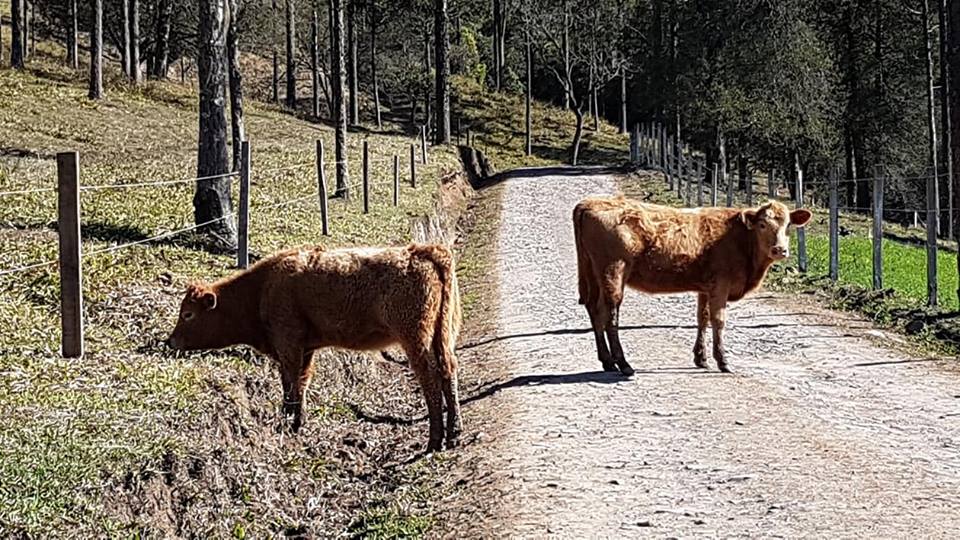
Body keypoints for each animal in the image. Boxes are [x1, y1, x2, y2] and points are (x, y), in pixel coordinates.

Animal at [166, 243, 463, 452]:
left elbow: (291, 382)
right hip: (442, 338)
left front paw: (289, 421)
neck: (263, 288)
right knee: (448, 372)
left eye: (188, 314)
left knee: (430, 378)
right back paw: (454, 434)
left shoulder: (288, 345)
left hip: (415, 339)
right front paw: (297, 420)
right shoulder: (305, 349)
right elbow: (301, 382)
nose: (170, 341)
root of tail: (421, 250)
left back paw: (434, 441)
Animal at [573, 196, 811, 375]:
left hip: (592, 272)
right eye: (762, 225)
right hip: (614, 270)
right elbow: (718, 321)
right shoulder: (721, 285)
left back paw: (607, 361)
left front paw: (701, 358)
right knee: (610, 315)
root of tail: (589, 203)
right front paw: (722, 360)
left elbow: (702, 318)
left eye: (788, 226)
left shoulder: (705, 288)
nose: (779, 250)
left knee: (595, 309)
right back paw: (623, 364)